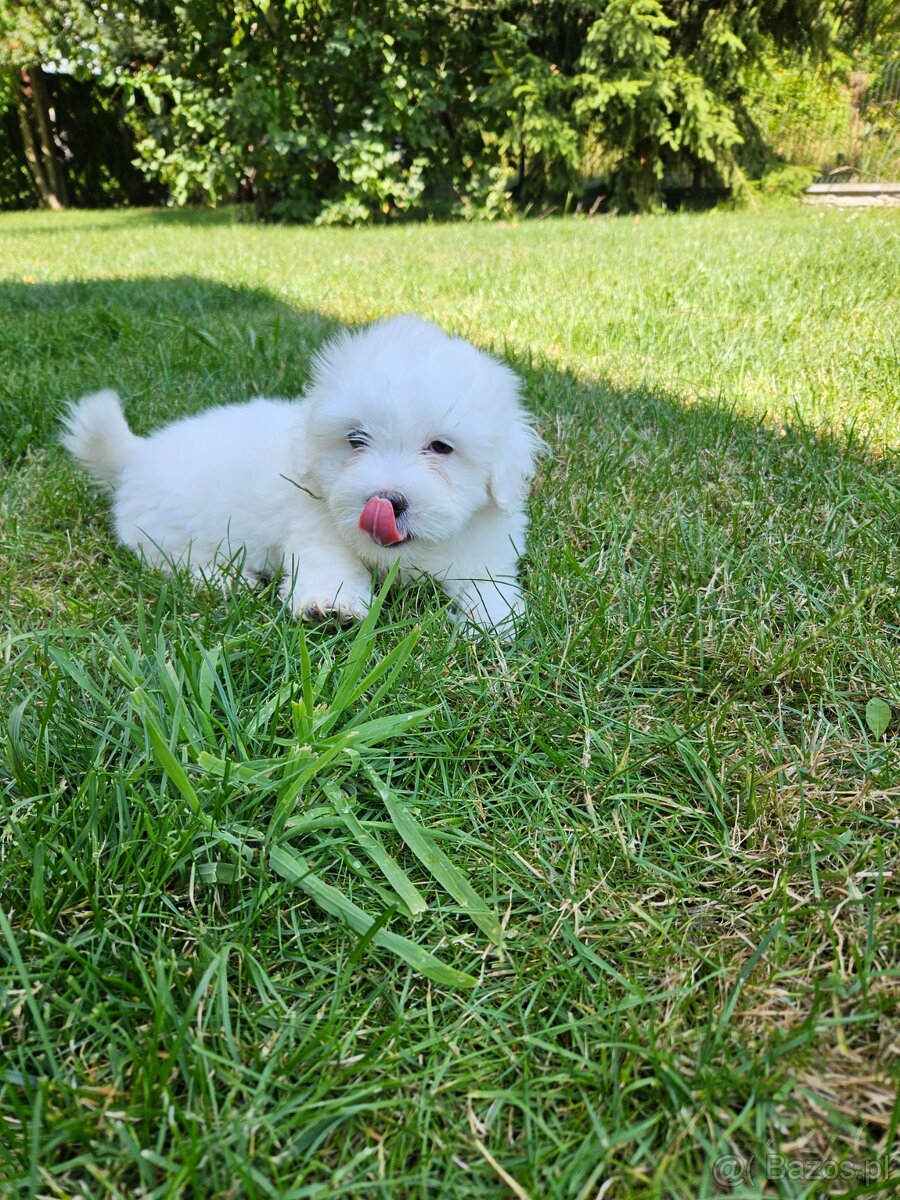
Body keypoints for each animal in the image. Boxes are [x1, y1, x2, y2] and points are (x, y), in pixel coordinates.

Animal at [63, 319, 547, 633]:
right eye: (355, 439)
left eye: (442, 448)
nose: (385, 501)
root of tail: (137, 455)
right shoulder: (315, 523)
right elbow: (330, 560)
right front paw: (331, 604)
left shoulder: (486, 549)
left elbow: (491, 587)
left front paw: (490, 620)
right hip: (166, 528)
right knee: (172, 561)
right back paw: (230, 580)